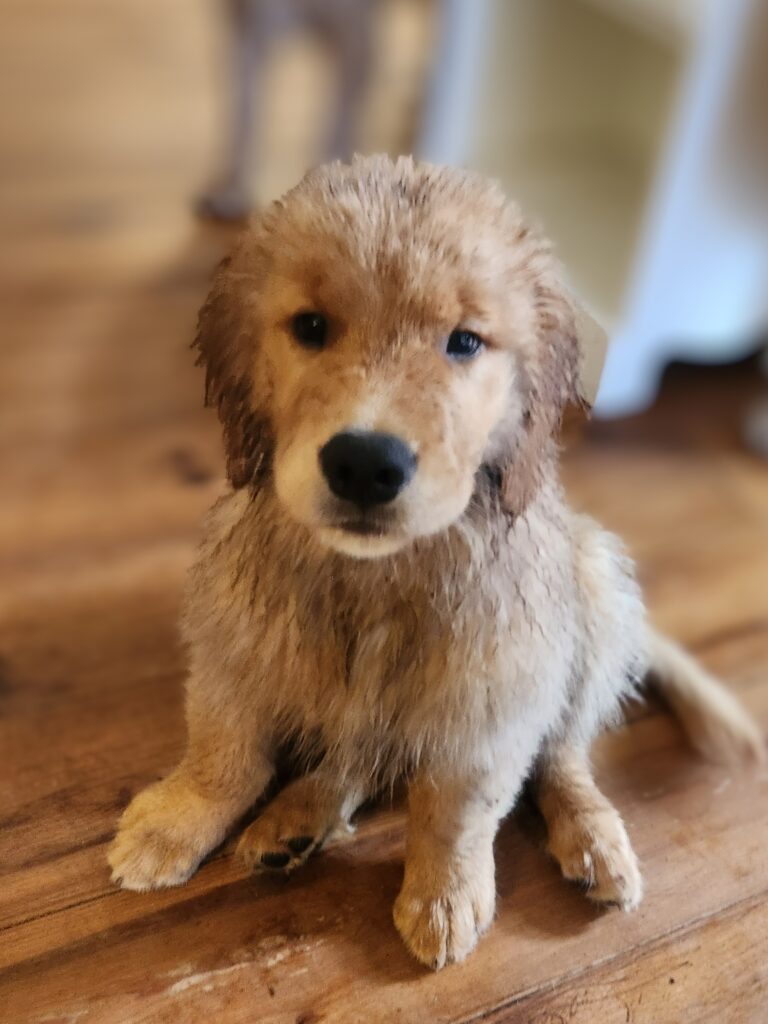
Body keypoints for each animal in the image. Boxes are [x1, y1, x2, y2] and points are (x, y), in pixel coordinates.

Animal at [111, 153, 765, 966]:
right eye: (312, 327)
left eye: (465, 342)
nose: (365, 464)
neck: (377, 574)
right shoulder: (235, 643)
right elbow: (223, 751)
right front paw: (176, 819)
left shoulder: (493, 698)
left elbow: (456, 810)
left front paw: (444, 894)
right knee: (359, 752)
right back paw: (298, 816)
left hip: (593, 589)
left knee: (564, 754)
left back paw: (592, 835)